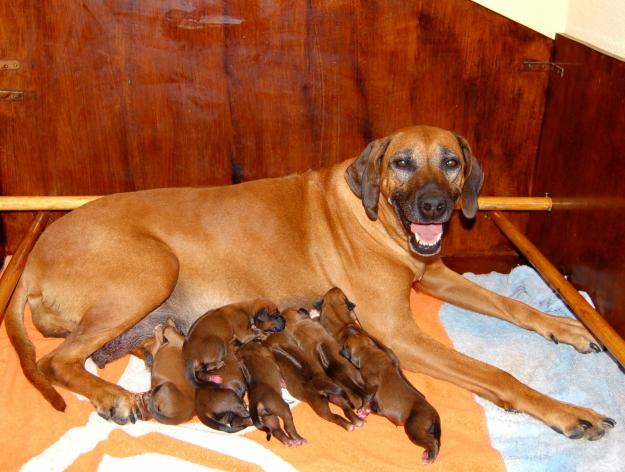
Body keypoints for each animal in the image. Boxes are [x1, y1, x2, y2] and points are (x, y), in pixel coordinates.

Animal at [4, 123, 612, 440]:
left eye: (451, 162)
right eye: (403, 162)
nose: (435, 207)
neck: (373, 215)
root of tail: (34, 255)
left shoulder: (435, 272)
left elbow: (513, 308)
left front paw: (565, 325)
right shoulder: (400, 334)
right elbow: (496, 374)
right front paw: (569, 411)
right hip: (152, 270)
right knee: (55, 361)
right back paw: (112, 397)